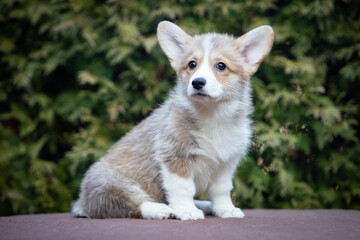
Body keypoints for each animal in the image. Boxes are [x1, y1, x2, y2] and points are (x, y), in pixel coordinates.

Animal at [71, 21, 272, 220]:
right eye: (192, 64)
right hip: (109, 182)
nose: (197, 82)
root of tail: (82, 202)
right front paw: (187, 211)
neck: (211, 114)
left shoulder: (226, 164)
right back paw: (160, 210)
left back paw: (204, 206)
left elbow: (221, 191)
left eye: (221, 66)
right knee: (131, 204)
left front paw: (226, 210)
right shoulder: (175, 157)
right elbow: (184, 189)